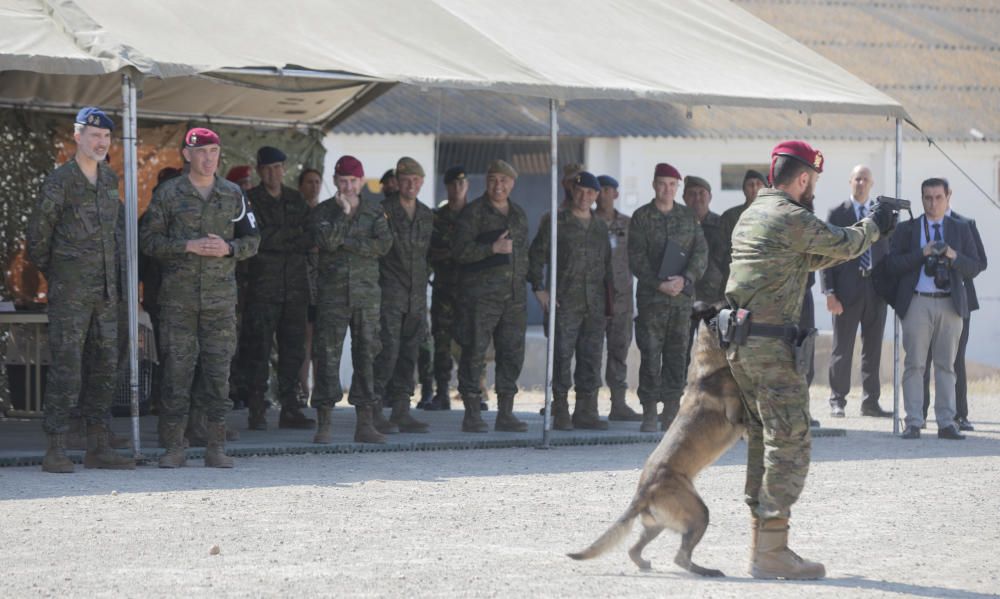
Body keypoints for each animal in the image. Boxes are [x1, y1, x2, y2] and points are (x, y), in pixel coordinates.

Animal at [568, 304, 748, 576]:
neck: (708, 360)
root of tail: (642, 493)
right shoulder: (737, 419)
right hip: (697, 513)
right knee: (681, 557)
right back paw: (705, 570)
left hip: (658, 524)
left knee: (635, 549)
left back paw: (645, 563)